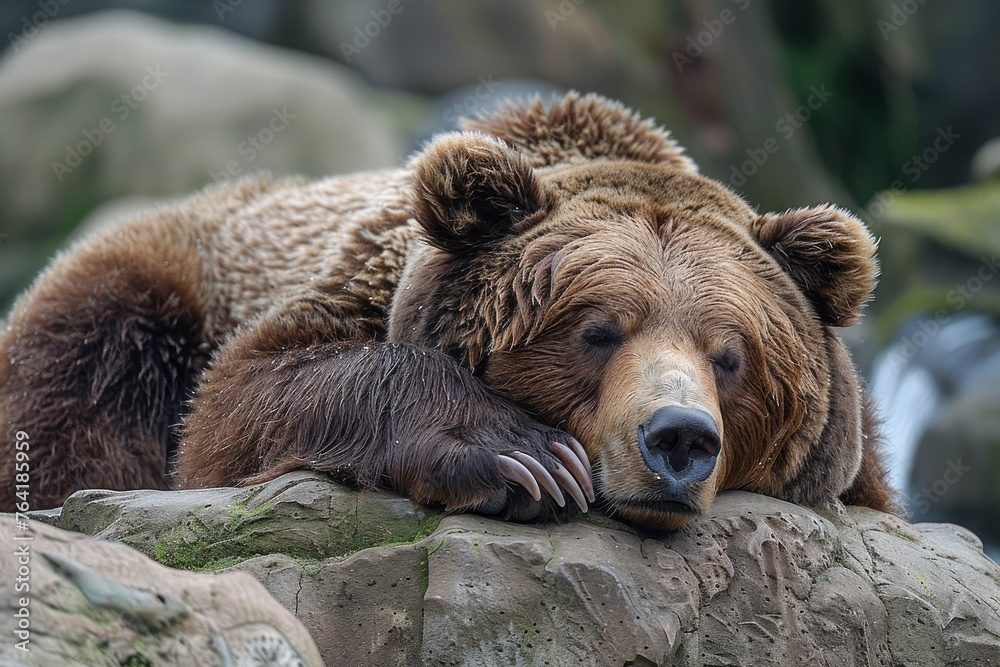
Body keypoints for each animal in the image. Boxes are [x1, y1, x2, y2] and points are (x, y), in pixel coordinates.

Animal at [0, 92, 894, 530]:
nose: (678, 438)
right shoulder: (351, 283)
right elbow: (238, 405)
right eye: (598, 332)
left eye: (729, 355)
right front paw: (523, 457)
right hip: (150, 294)